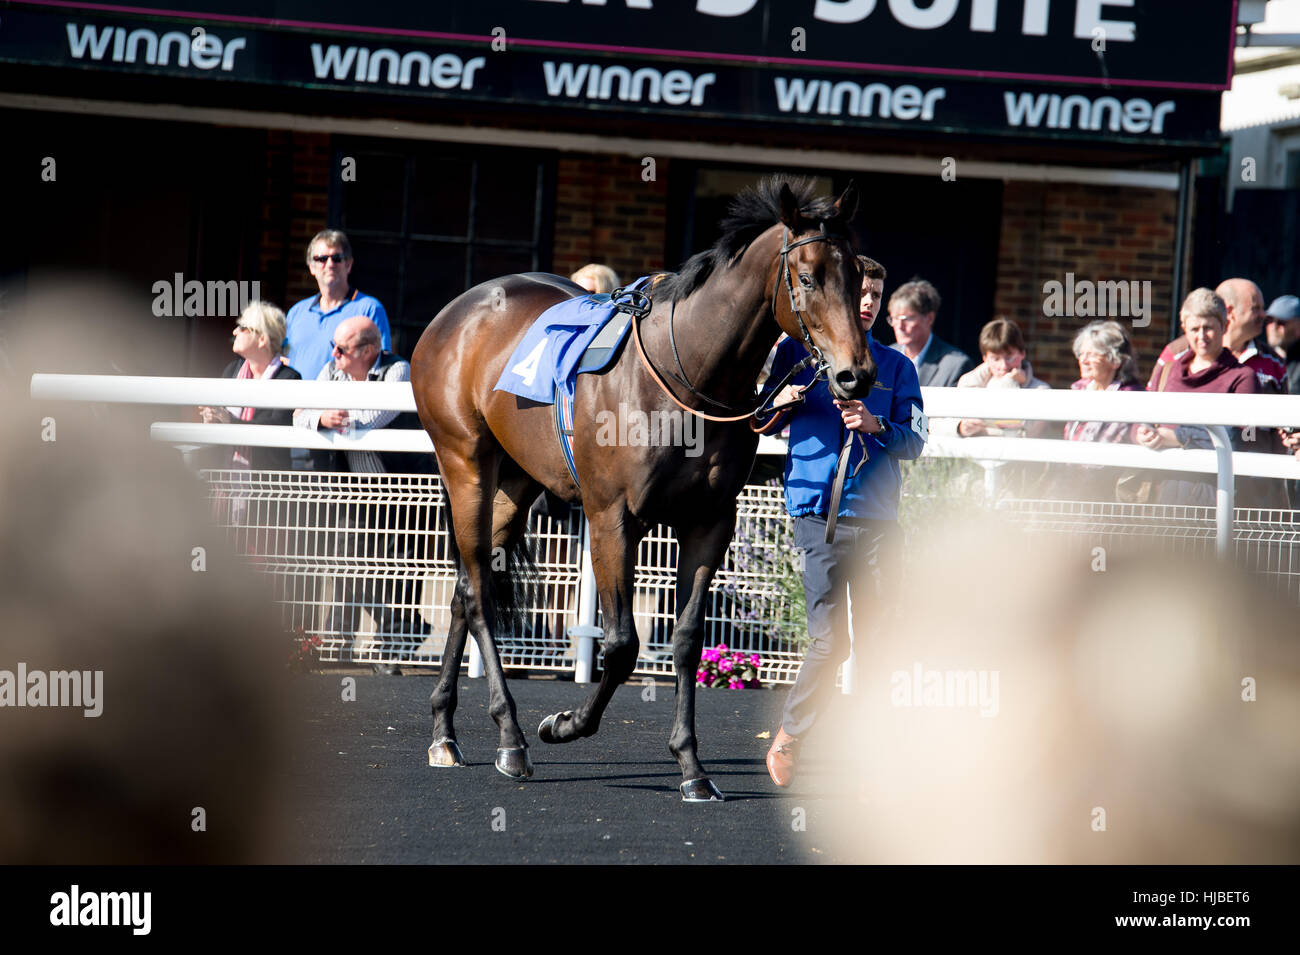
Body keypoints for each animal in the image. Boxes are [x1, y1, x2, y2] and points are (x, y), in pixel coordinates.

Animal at [408, 178, 873, 800]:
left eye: (858, 275)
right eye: (807, 276)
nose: (856, 376)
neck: (690, 376)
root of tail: (457, 311)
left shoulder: (710, 520)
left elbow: (687, 639)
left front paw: (692, 766)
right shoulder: (612, 517)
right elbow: (622, 644)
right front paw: (563, 724)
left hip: (516, 480)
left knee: (465, 586)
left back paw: (444, 732)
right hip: (465, 462)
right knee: (479, 590)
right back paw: (511, 738)